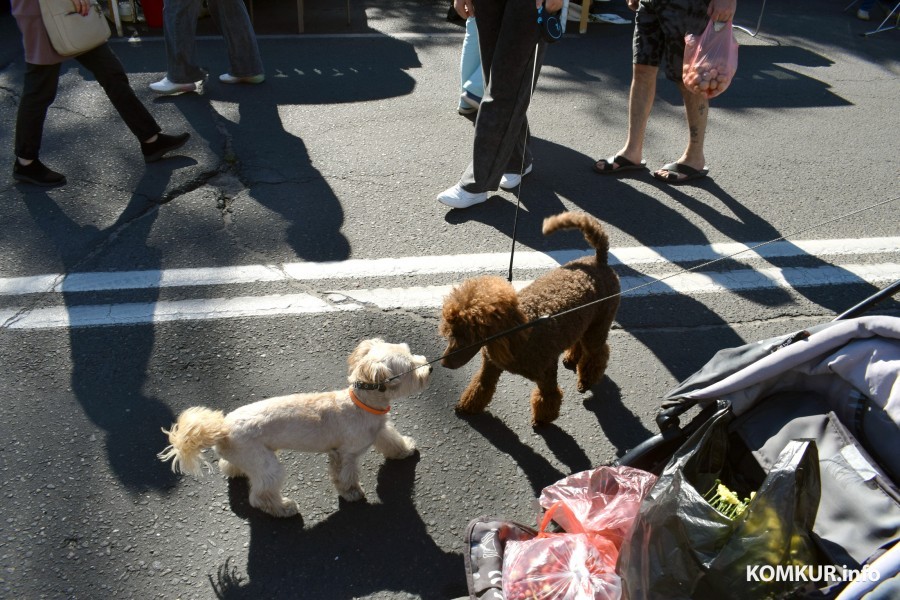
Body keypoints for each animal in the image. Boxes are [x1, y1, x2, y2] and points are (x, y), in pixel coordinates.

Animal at [156, 340, 430, 516]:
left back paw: (235, 471)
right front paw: (352, 493)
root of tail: (221, 428)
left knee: (232, 466)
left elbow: (392, 441)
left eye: (411, 353)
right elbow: (345, 476)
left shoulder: (381, 430)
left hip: (251, 457)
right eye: (410, 368)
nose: (429, 367)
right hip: (267, 465)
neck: (361, 404)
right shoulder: (346, 455)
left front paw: (404, 450)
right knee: (260, 495)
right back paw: (283, 508)